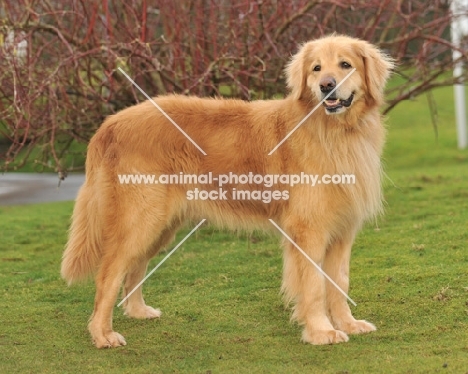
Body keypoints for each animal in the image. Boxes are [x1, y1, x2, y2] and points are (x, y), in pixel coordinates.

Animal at [60, 34, 394, 348]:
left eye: (345, 64)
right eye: (316, 68)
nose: (327, 86)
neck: (334, 132)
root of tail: (109, 124)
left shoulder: (342, 232)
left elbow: (339, 283)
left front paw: (348, 324)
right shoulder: (307, 230)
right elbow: (313, 286)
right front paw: (321, 332)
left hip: (160, 225)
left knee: (135, 269)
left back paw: (138, 311)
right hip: (141, 220)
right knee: (108, 274)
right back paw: (103, 334)